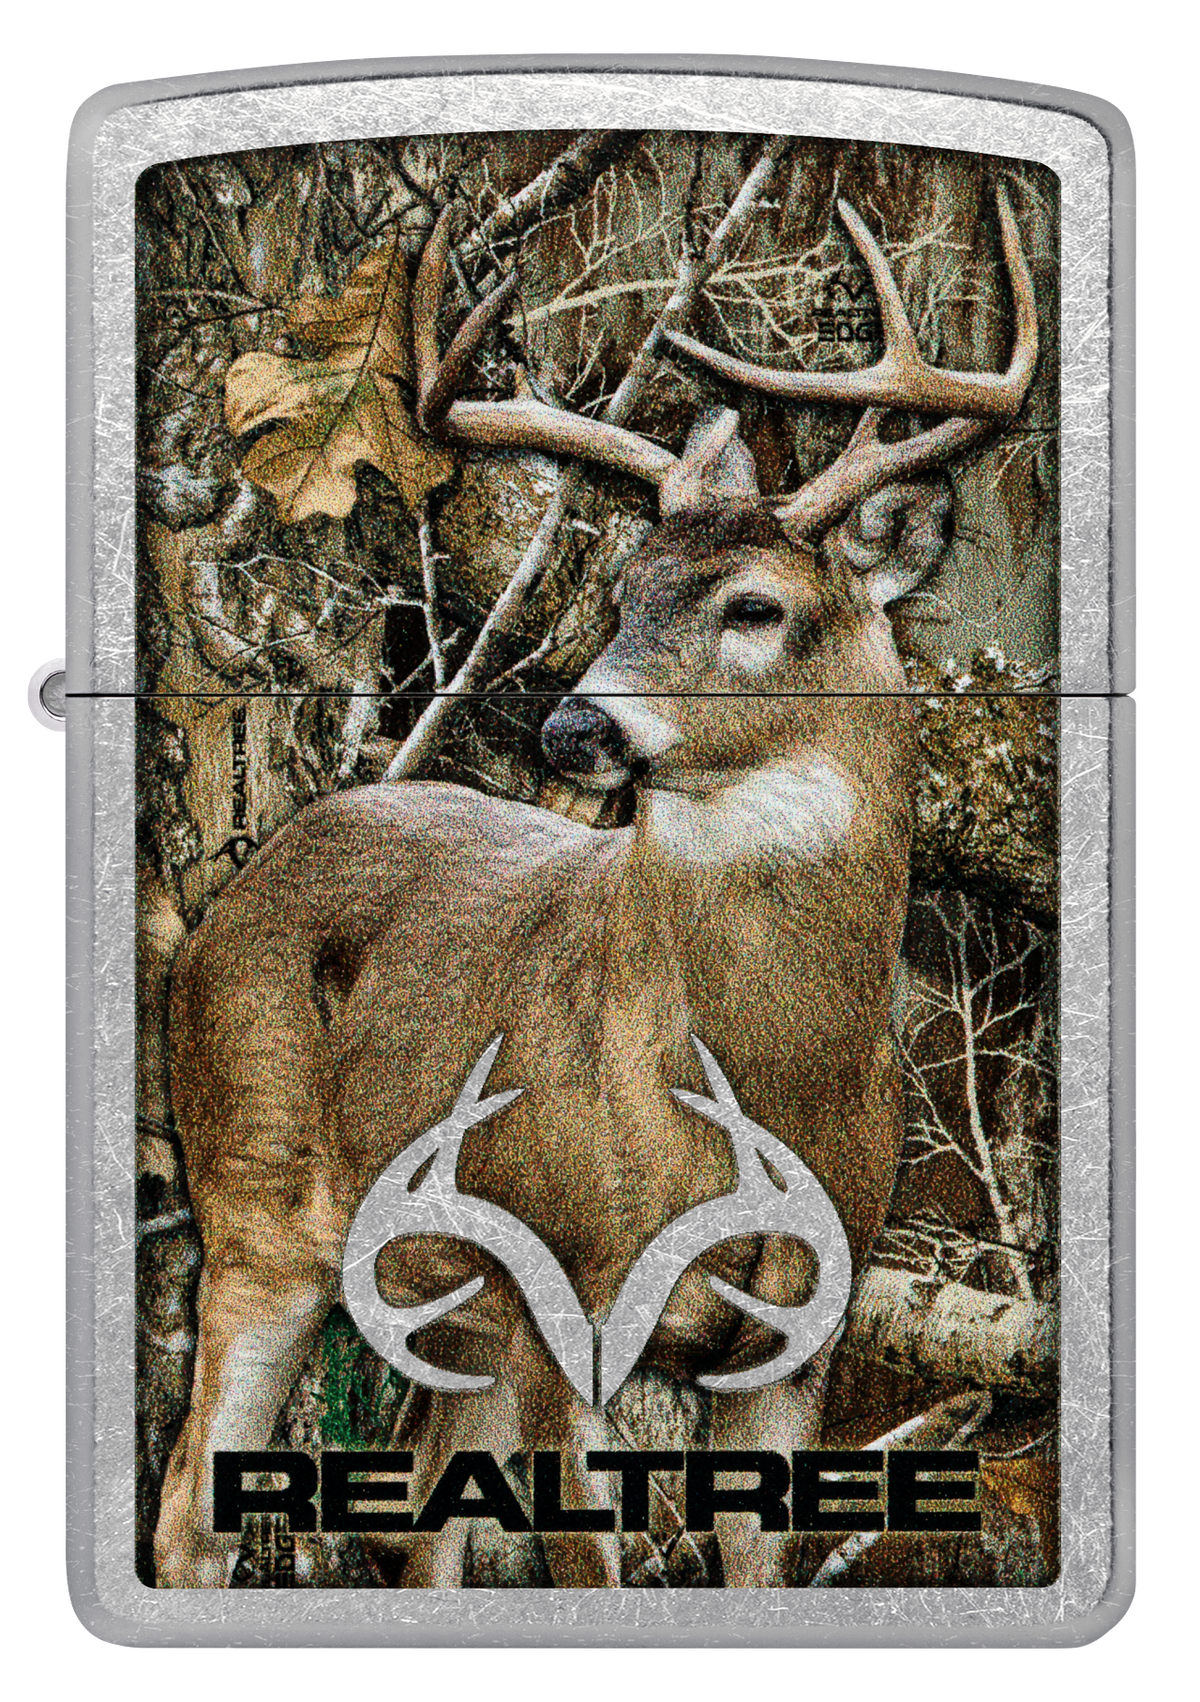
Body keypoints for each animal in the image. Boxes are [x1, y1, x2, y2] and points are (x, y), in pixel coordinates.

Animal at [154, 180, 1037, 1591]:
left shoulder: (797, 1336)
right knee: (190, 1508)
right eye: (622, 590)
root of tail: (233, 893)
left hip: (441, 1297)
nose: (574, 726)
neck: (756, 1075)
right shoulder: (561, 1286)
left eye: (754, 606)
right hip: (256, 1196)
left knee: (413, 1517)